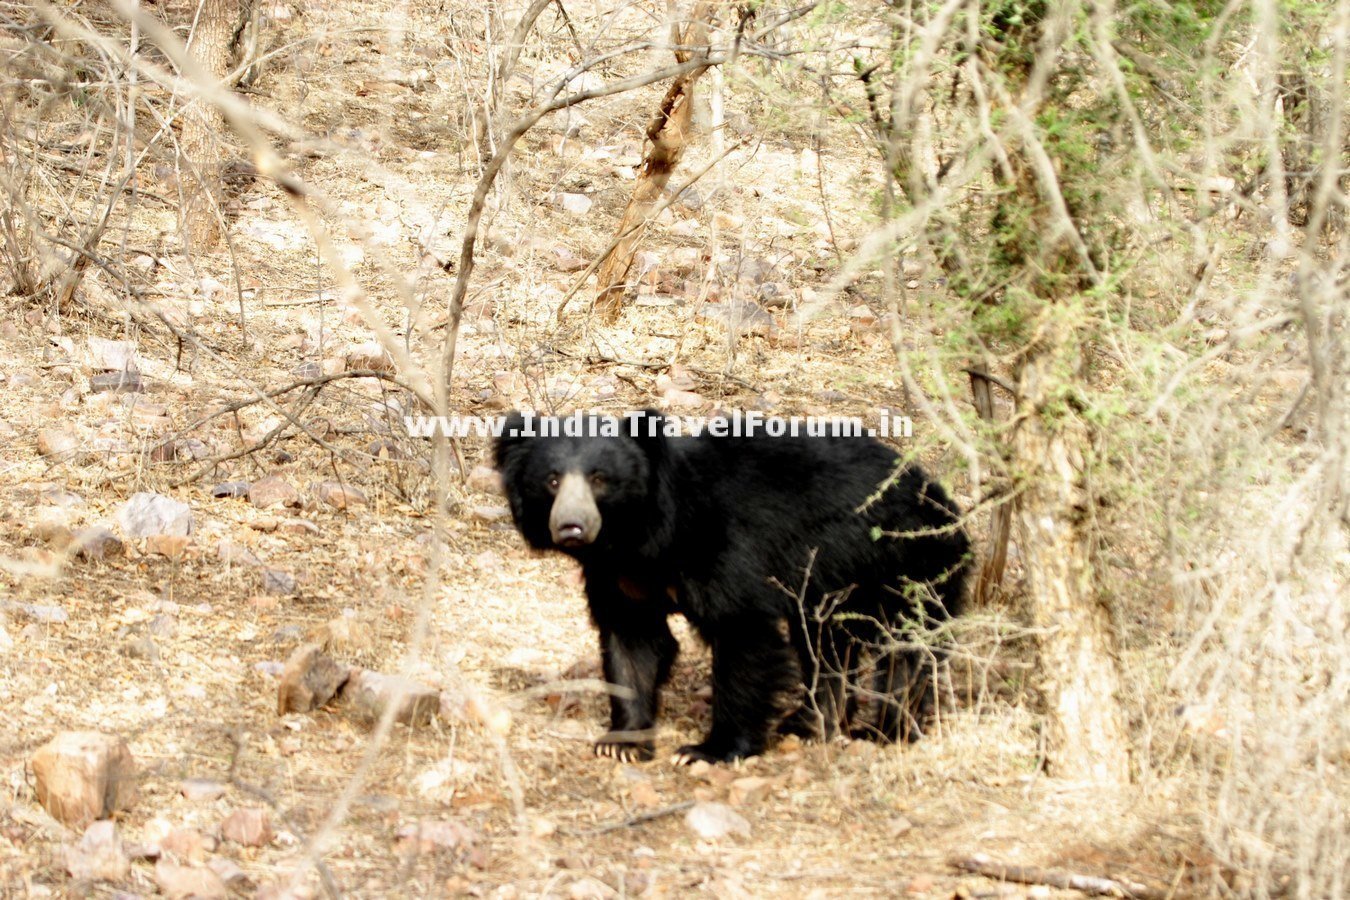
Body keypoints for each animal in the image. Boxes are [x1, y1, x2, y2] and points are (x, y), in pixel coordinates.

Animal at [496, 412, 972, 766]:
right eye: (552, 480)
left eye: (599, 479)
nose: (571, 527)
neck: (639, 538)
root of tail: (939, 495)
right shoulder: (621, 577)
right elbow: (632, 642)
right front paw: (623, 743)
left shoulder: (723, 545)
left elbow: (742, 633)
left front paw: (708, 751)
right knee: (825, 646)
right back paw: (810, 723)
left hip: (907, 561)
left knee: (908, 647)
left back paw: (886, 730)